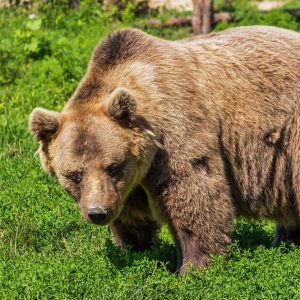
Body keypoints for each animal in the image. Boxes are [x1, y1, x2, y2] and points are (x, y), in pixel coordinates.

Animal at [29, 26, 300, 272]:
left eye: (113, 166)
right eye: (74, 174)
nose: (98, 212)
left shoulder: (177, 131)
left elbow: (194, 195)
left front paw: (193, 267)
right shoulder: (130, 183)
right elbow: (132, 217)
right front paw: (134, 250)